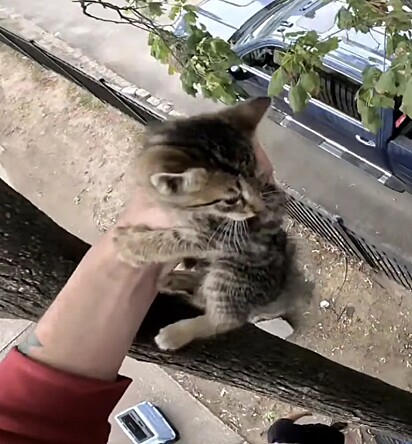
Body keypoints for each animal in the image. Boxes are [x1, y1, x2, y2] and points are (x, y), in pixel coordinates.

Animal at [113, 97, 292, 350]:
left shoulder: (219, 236)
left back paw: (177, 333)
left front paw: (132, 246)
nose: (259, 209)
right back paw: (176, 279)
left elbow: (178, 239)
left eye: (257, 177)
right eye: (231, 200)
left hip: (231, 273)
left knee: (226, 319)